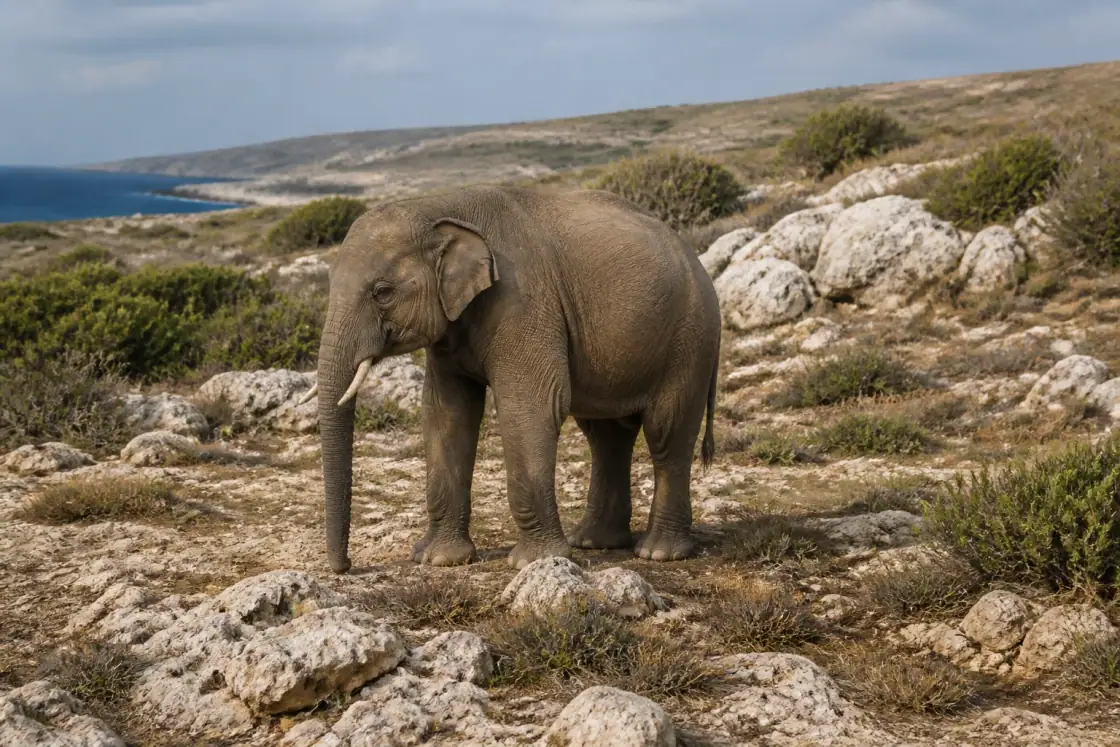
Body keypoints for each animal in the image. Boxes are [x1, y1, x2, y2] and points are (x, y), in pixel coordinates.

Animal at [300, 184, 722, 573]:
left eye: (382, 292)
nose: (346, 566)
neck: (436, 206)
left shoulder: (522, 302)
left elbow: (530, 407)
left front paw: (533, 563)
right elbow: (445, 413)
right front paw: (438, 559)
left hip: (690, 338)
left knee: (666, 433)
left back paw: (659, 553)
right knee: (606, 436)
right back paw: (593, 542)